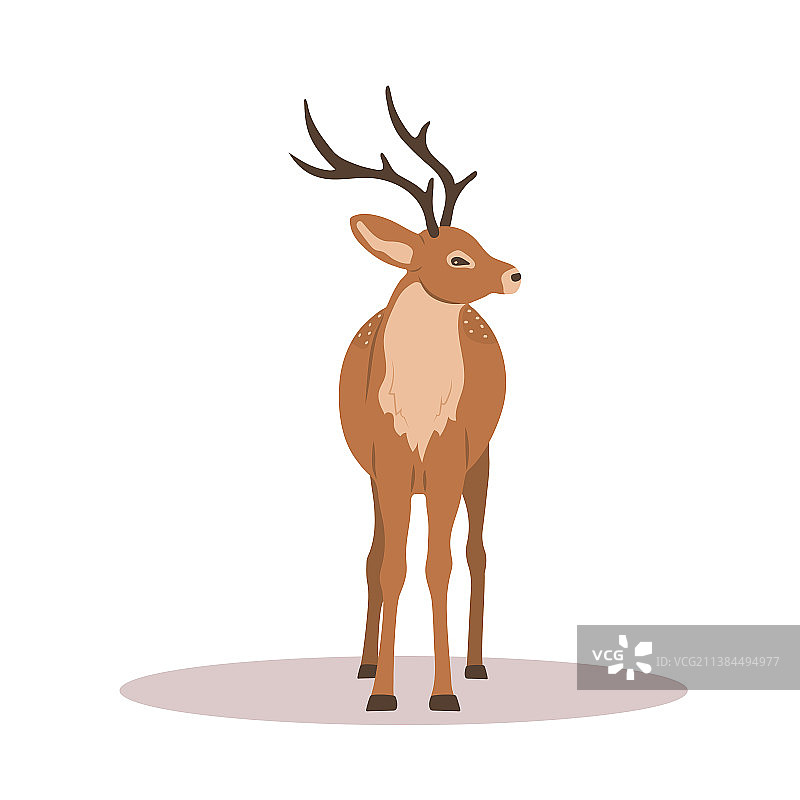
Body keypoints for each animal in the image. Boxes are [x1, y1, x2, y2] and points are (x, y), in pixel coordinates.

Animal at [290, 88, 521, 712]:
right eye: (457, 257)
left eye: (475, 240)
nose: (514, 274)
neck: (418, 415)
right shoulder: (389, 460)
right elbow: (391, 566)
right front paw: (383, 693)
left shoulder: (448, 457)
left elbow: (438, 565)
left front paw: (442, 694)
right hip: (374, 475)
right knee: (373, 554)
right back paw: (367, 663)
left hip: (481, 458)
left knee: (476, 551)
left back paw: (475, 665)